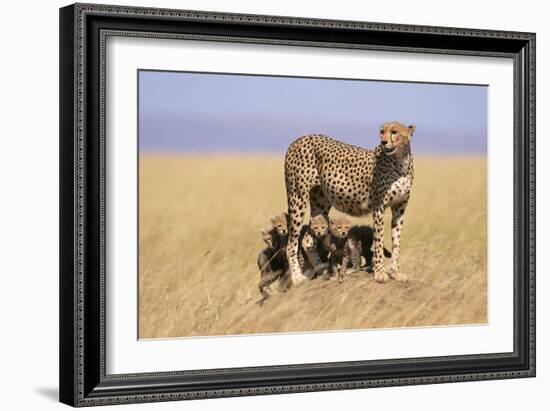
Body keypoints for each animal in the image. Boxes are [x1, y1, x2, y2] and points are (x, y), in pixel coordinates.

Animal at [284, 122, 418, 286]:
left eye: (394, 132)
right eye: (382, 131)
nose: (383, 142)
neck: (400, 162)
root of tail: (300, 138)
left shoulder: (399, 209)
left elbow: (396, 241)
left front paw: (396, 272)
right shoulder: (379, 208)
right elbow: (379, 241)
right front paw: (380, 273)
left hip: (320, 201)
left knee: (308, 239)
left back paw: (322, 270)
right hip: (297, 197)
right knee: (291, 243)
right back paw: (297, 277)